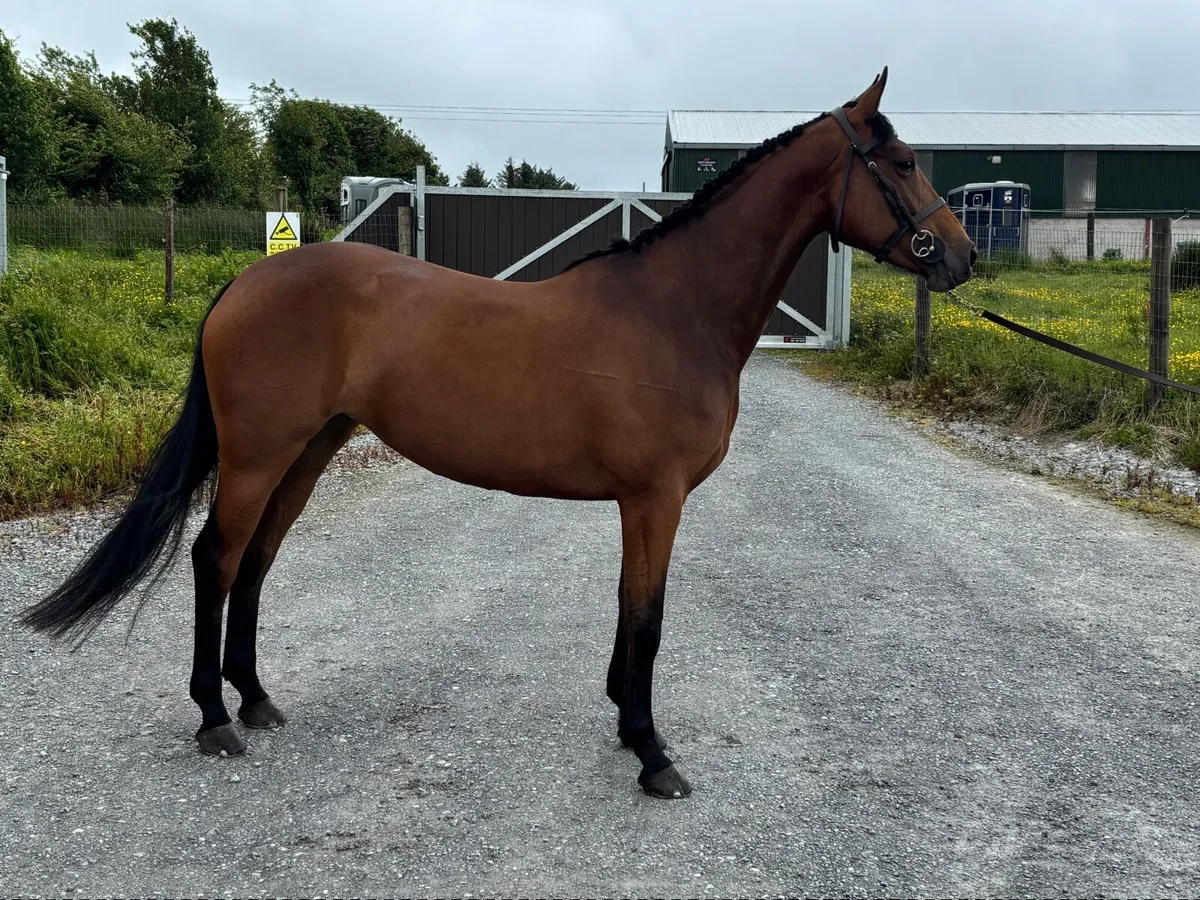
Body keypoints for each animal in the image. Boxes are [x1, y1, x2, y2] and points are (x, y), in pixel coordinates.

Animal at [20, 68, 975, 799]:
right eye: (901, 161)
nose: (962, 258)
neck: (674, 311)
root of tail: (244, 284)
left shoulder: (639, 503)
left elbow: (628, 607)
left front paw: (626, 725)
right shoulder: (655, 498)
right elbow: (649, 615)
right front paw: (652, 752)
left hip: (311, 450)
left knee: (255, 562)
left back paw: (255, 698)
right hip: (260, 454)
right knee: (215, 561)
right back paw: (216, 719)